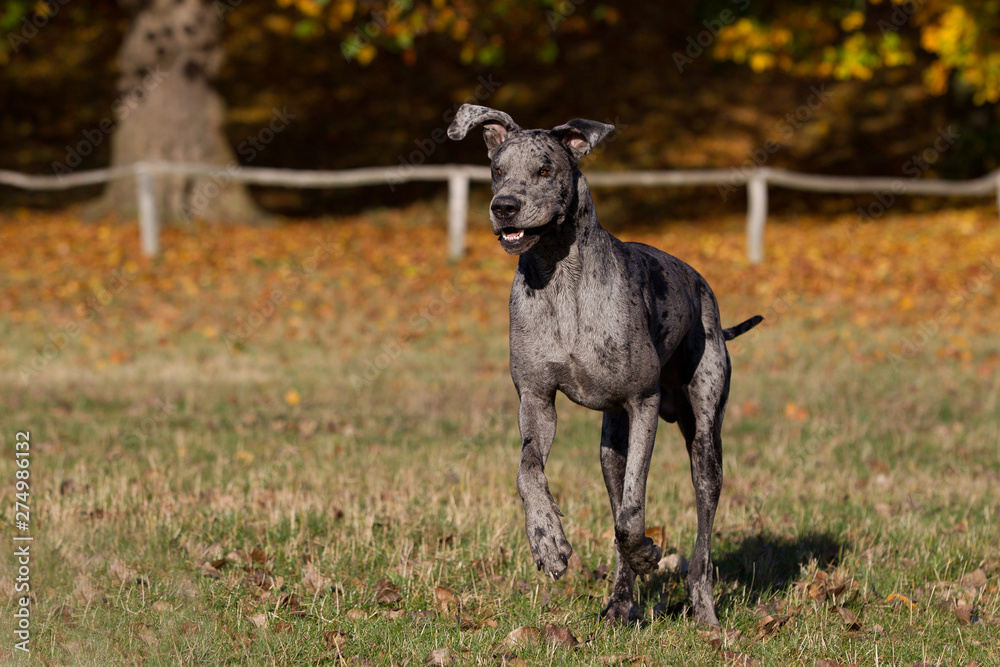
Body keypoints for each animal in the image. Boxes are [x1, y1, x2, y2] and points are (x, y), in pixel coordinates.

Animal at [450, 104, 760, 628]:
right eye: (496, 169)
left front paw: (646, 551)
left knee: (700, 541)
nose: (504, 206)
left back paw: (705, 614)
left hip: (705, 441)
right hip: (609, 448)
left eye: (545, 170)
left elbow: (632, 510)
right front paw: (547, 541)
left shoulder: (642, 404)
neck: (559, 277)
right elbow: (528, 471)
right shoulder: (536, 401)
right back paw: (618, 602)